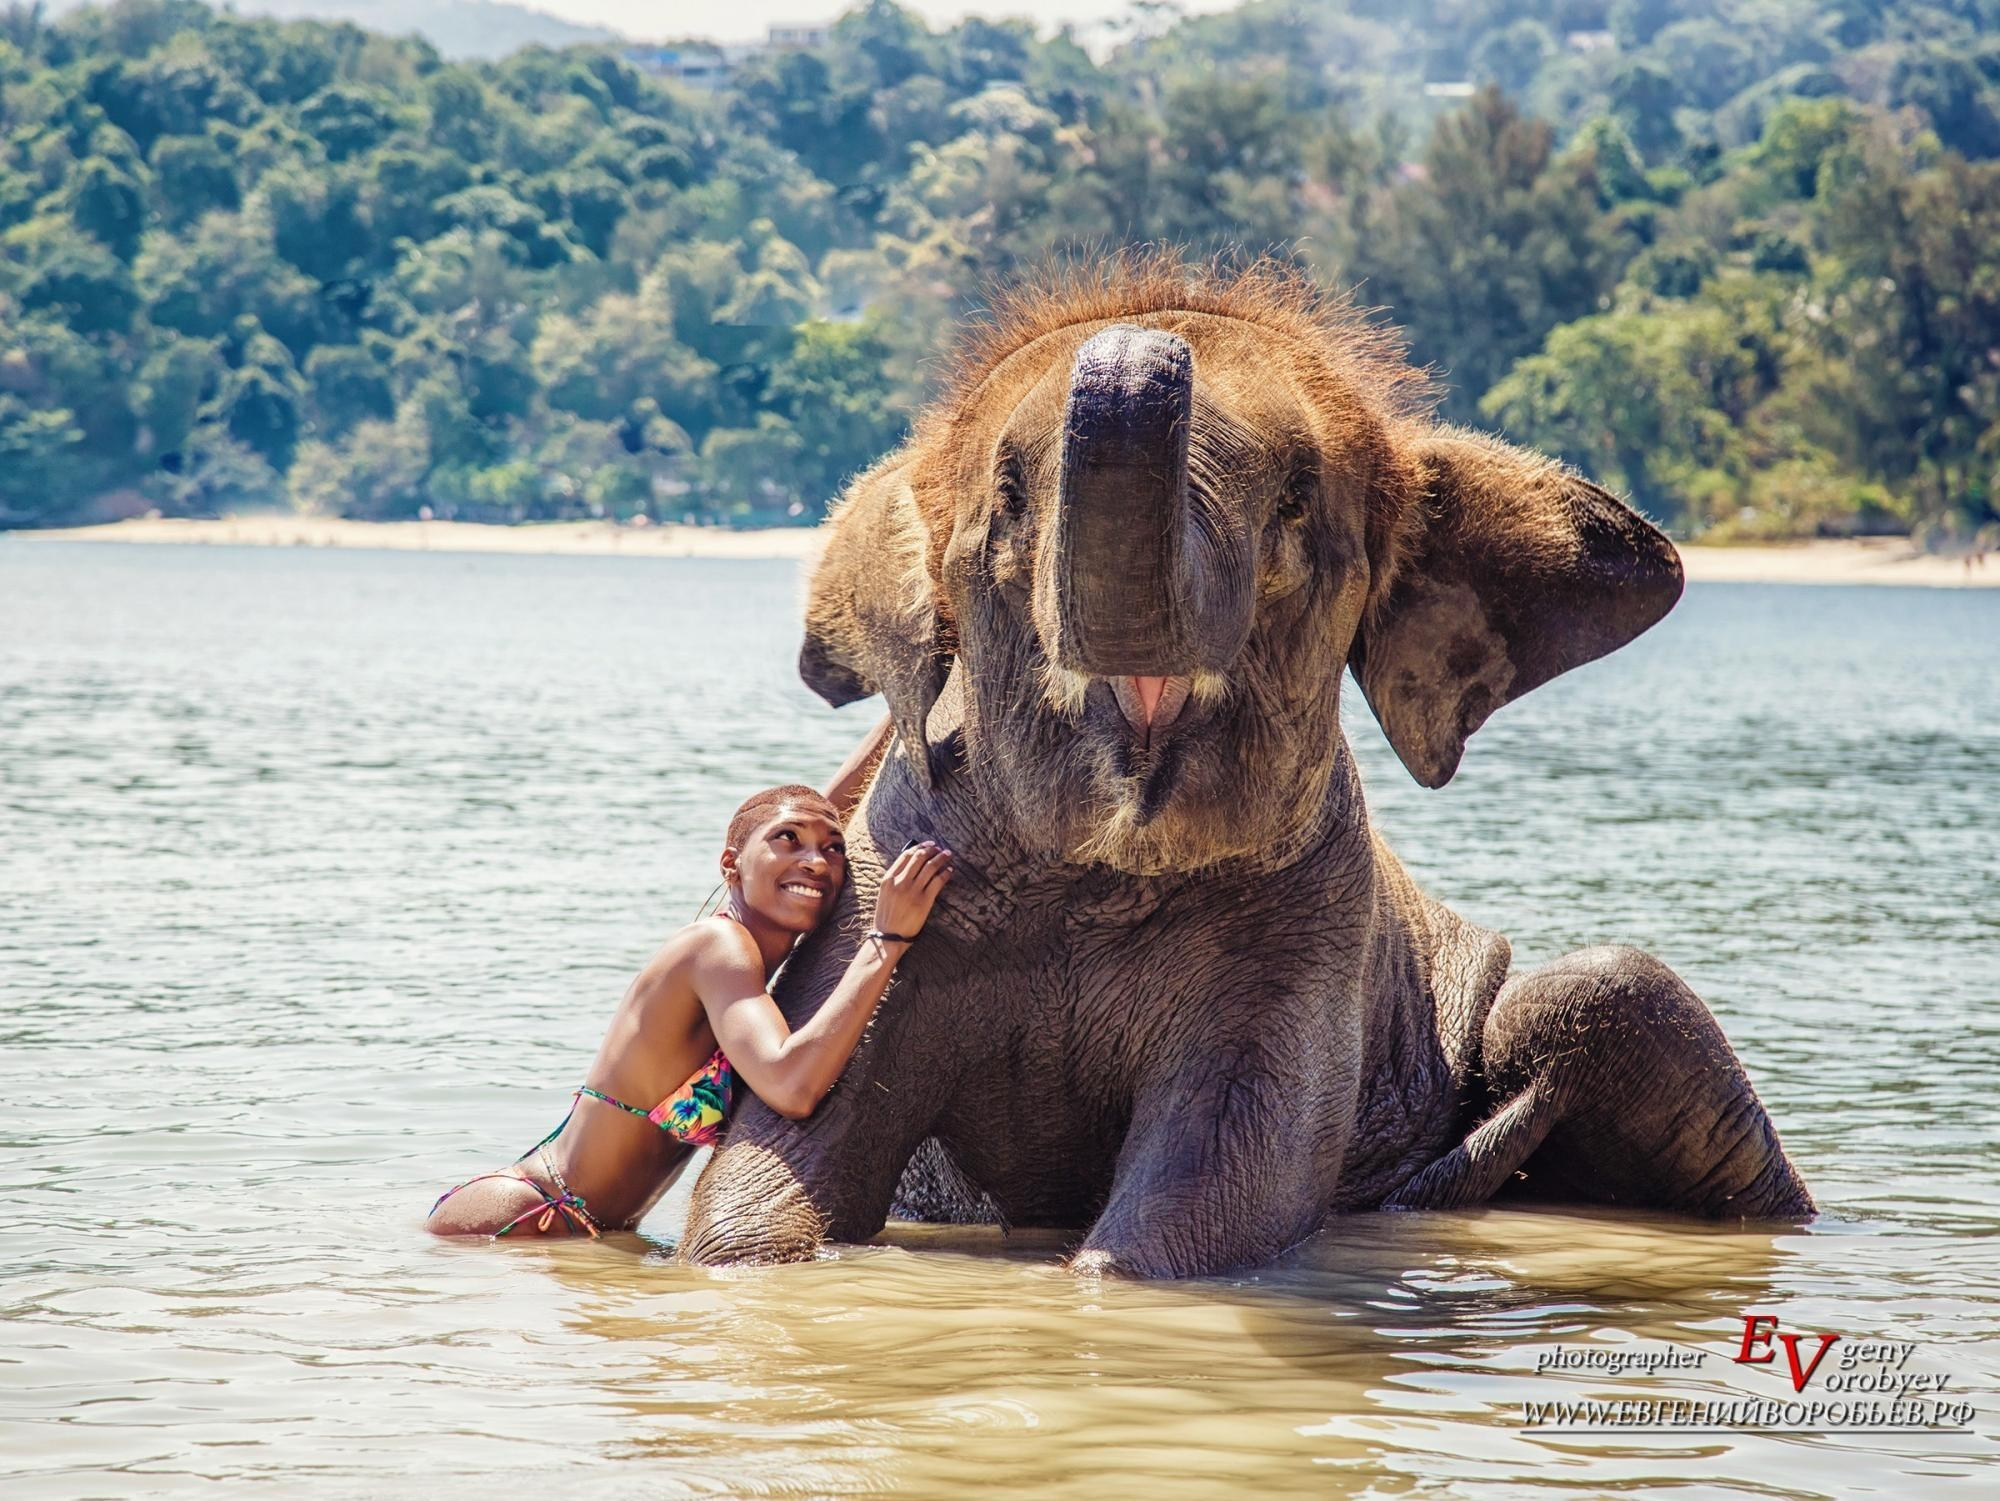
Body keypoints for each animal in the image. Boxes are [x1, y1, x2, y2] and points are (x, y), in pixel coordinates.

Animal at [680, 258, 1813, 1278]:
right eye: (1007, 498)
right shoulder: (882, 871)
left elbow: (1205, 1207)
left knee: (1605, 987)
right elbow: (763, 1187)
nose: (1148, 324)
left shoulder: (1311, 925)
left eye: (1295, 506)